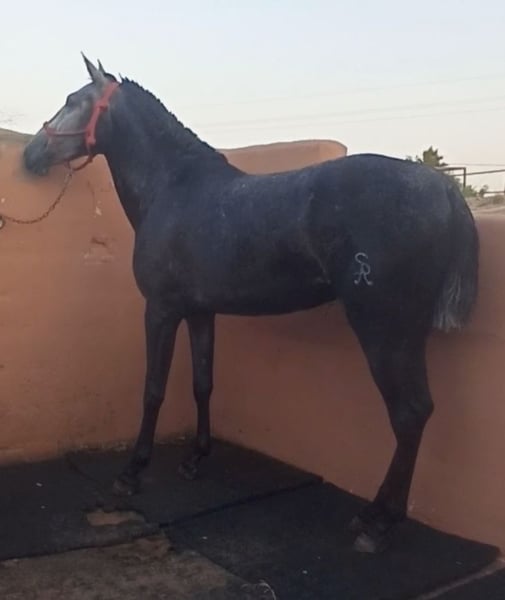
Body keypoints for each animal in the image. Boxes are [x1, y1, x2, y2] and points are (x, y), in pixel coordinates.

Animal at [23, 55, 479, 553]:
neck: (174, 187)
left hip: (385, 332)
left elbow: (153, 389)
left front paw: (131, 473)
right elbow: (203, 382)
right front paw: (195, 460)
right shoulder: (200, 311)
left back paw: (376, 521)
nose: (30, 155)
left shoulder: (160, 310)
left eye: (74, 101)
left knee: (409, 413)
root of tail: (443, 188)